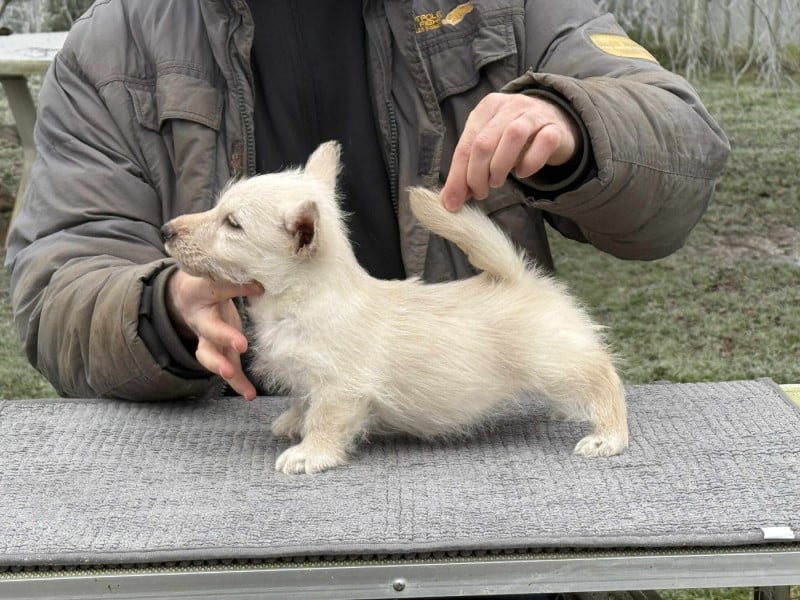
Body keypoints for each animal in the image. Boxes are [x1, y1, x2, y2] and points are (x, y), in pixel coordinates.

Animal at [162, 141, 629, 474]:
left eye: (233, 224)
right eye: (219, 209)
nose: (167, 230)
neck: (303, 298)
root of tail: (516, 275)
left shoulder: (339, 388)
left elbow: (325, 420)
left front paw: (309, 453)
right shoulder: (310, 377)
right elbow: (302, 400)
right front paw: (292, 421)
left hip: (556, 360)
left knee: (603, 379)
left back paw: (608, 435)